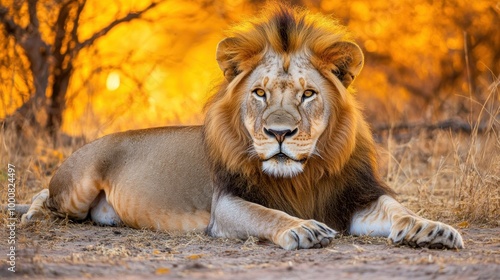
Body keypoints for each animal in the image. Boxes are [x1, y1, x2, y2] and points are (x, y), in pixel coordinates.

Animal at [21, 4, 462, 249]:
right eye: (260, 93)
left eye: (307, 94)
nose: (279, 134)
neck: (303, 175)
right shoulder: (227, 204)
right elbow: (268, 215)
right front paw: (303, 228)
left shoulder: (356, 197)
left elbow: (399, 209)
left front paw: (433, 229)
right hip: (76, 187)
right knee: (46, 194)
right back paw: (29, 215)